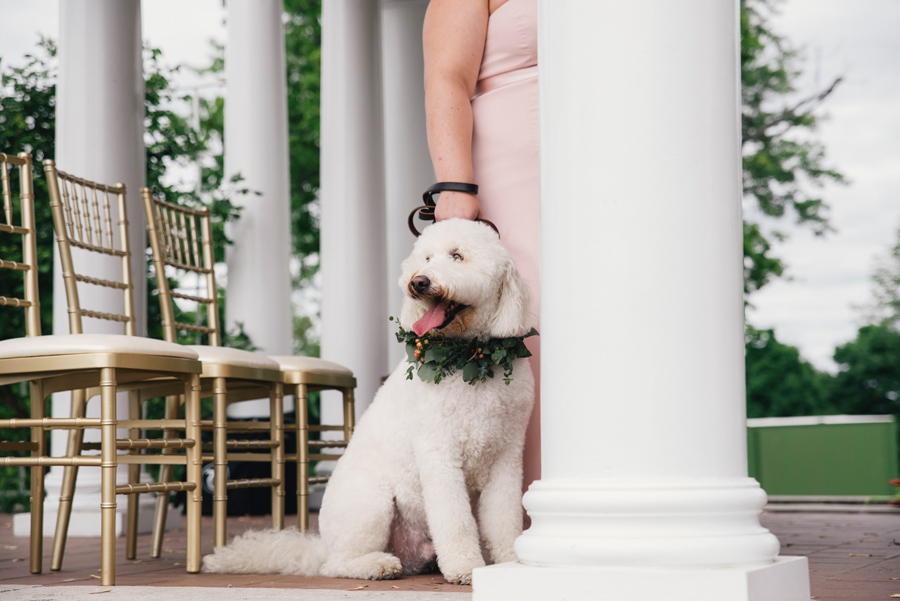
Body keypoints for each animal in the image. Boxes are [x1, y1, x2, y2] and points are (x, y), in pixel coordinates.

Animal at [202, 218, 536, 584]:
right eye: (427, 258)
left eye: (457, 256)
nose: (419, 281)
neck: (472, 361)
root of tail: (322, 547)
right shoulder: (440, 454)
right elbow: (455, 520)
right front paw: (465, 567)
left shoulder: (506, 455)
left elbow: (504, 518)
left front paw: (511, 562)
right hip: (371, 504)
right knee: (335, 565)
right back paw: (377, 565)